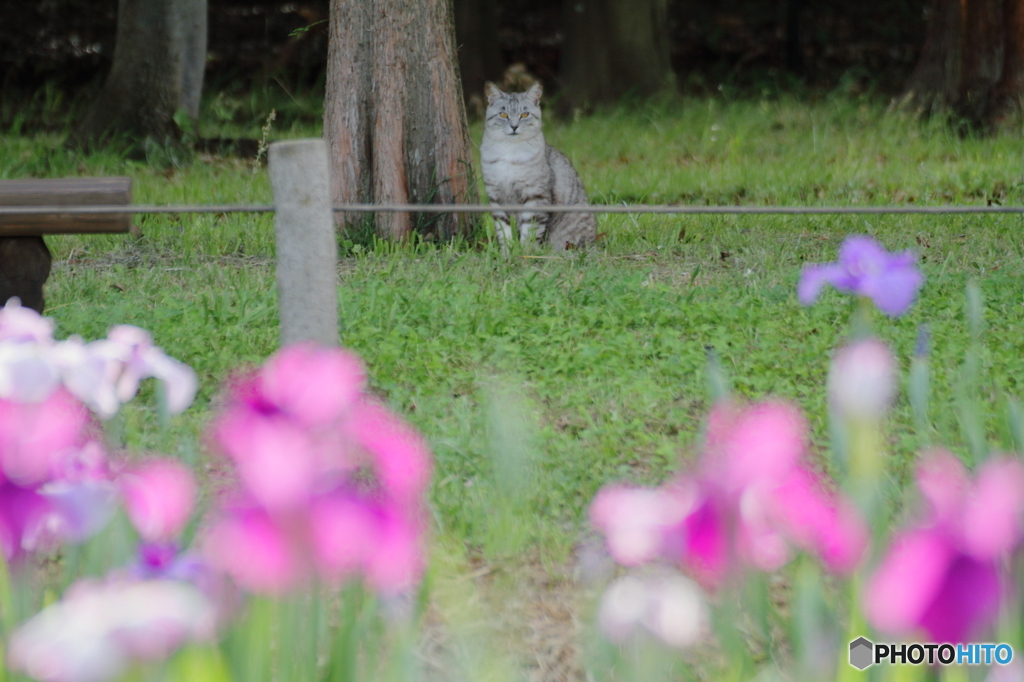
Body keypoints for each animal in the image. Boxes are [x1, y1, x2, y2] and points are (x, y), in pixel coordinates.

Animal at [481, 80, 598, 248]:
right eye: (503, 114)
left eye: (525, 114)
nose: (514, 127)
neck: (510, 152)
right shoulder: (496, 198)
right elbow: (504, 232)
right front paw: (507, 252)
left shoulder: (536, 196)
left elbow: (530, 231)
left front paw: (525, 252)